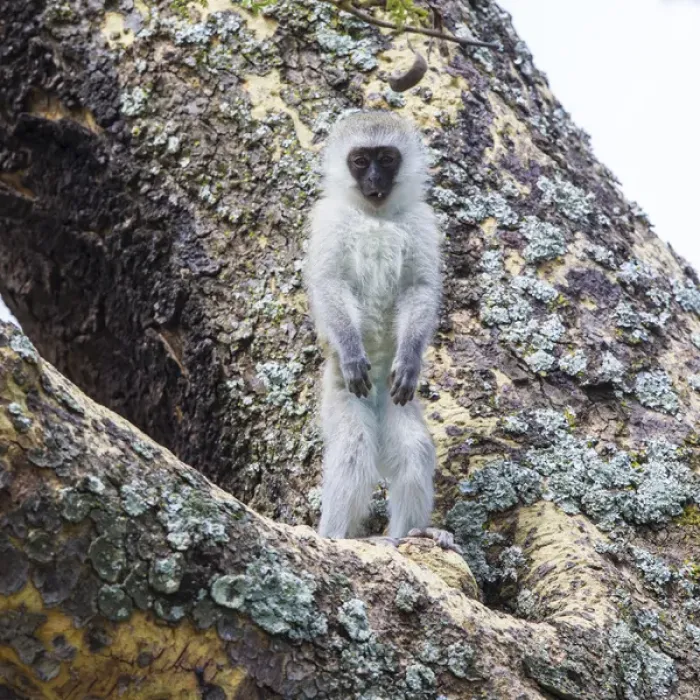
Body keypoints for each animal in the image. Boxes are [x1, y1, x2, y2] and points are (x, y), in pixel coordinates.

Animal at [305, 110, 456, 551]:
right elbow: (330, 283)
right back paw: (336, 535)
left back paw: (409, 534)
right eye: (360, 161)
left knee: (413, 449)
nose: (374, 180)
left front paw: (410, 361)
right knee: (353, 447)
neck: (374, 216)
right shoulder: (329, 219)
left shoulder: (422, 221)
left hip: (392, 401)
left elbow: (418, 288)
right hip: (340, 392)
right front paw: (354, 351)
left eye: (386, 159)